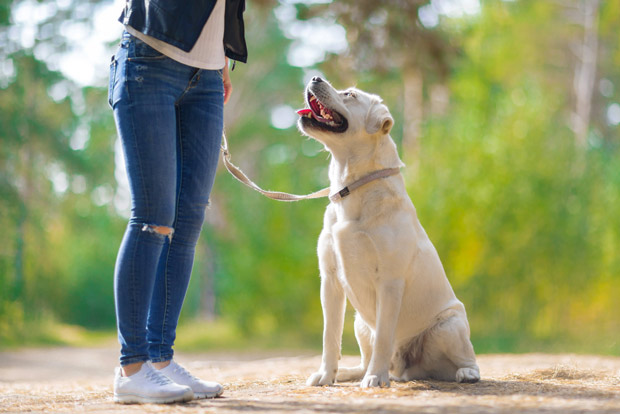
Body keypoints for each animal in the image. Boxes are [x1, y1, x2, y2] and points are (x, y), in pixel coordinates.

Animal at [298, 77, 482, 388]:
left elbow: (385, 335)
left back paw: (466, 373)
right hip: (360, 323)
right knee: (364, 357)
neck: (352, 187)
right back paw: (350, 373)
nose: (314, 78)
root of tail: (406, 370)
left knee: (465, 358)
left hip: (449, 325)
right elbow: (329, 336)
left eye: (350, 95)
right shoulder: (330, 280)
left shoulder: (390, 281)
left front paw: (375, 378)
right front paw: (325, 375)